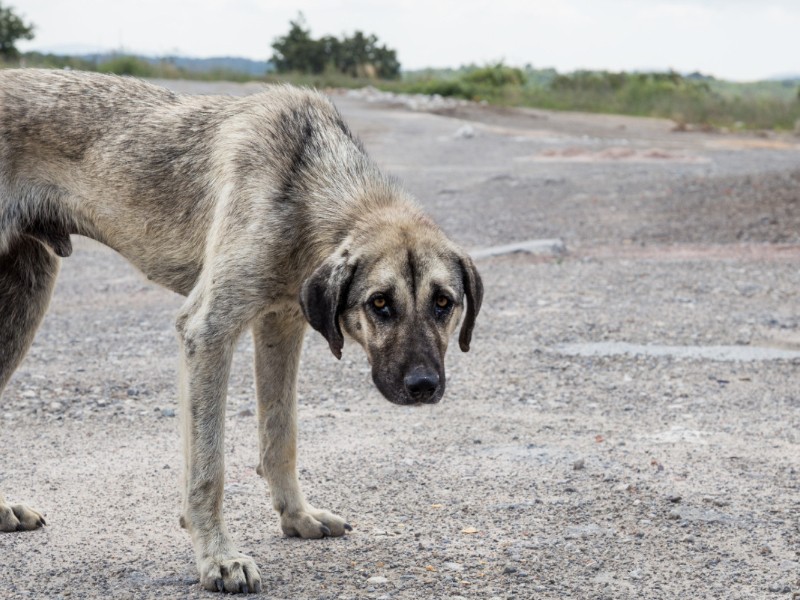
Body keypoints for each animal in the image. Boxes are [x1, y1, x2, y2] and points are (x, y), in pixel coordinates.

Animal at [0, 69, 482, 592]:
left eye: (444, 303)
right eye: (379, 303)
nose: (423, 386)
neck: (306, 181)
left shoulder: (281, 326)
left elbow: (281, 436)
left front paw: (297, 517)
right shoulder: (208, 332)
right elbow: (209, 467)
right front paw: (217, 557)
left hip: (23, 302)